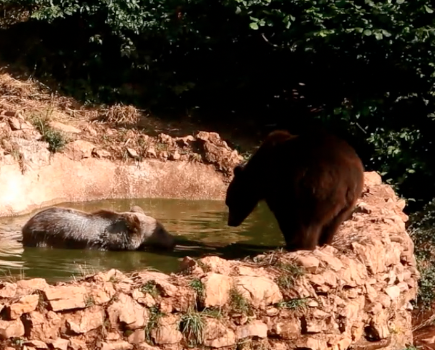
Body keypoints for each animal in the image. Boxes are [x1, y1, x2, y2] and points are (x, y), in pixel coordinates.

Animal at [227, 130, 366, 250]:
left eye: (229, 202)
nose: (230, 222)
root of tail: (350, 179)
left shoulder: (279, 183)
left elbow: (283, 212)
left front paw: (289, 239)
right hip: (348, 202)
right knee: (335, 222)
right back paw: (324, 242)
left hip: (320, 190)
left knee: (311, 222)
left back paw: (303, 245)